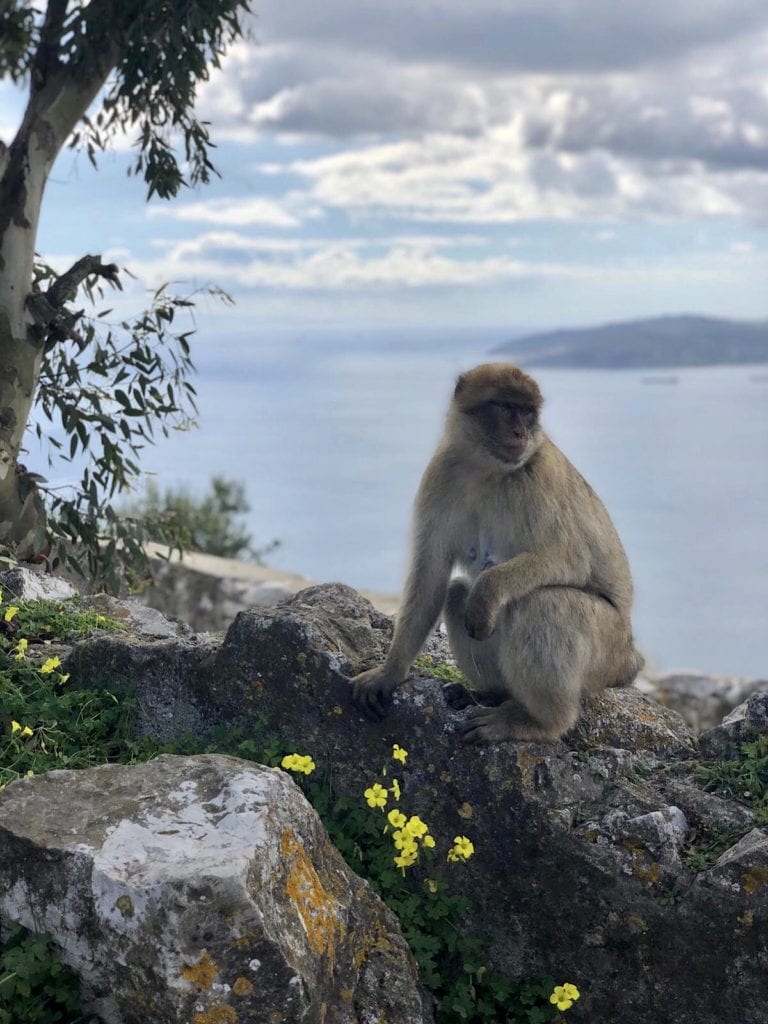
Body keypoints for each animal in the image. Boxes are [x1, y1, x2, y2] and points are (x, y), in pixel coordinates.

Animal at [352, 364, 647, 741]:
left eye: (528, 412)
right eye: (506, 407)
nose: (521, 432)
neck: (487, 469)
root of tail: (630, 660)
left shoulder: (538, 477)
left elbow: (568, 559)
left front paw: (487, 592)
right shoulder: (442, 472)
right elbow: (430, 573)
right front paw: (389, 673)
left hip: (607, 651)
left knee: (544, 604)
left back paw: (540, 721)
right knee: (457, 593)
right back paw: (493, 693)